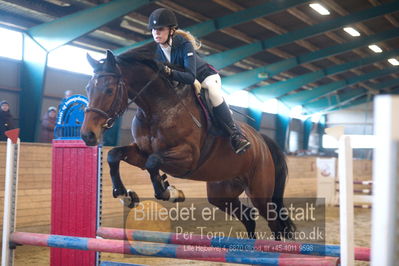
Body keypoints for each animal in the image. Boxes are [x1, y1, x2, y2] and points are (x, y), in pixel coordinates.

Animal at [79, 43, 296, 239]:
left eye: (109, 90)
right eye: (88, 88)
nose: (87, 135)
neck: (158, 108)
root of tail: (261, 140)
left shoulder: (187, 157)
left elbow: (153, 162)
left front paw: (171, 191)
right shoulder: (141, 152)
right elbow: (114, 155)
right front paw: (125, 195)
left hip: (259, 190)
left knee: (274, 222)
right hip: (222, 193)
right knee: (248, 216)